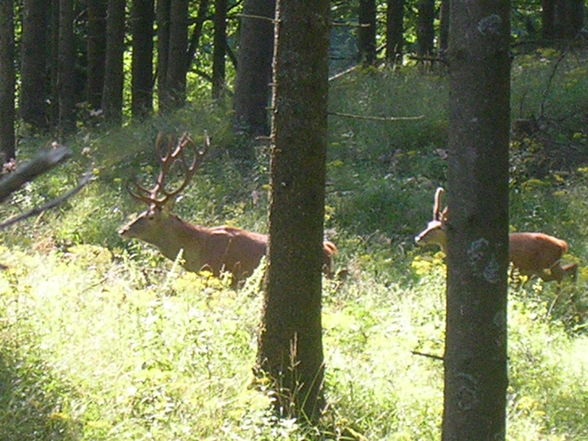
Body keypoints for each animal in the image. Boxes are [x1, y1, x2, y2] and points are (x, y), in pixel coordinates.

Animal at [119, 132, 338, 284]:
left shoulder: (224, 275)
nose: (124, 230)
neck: (196, 249)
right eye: (142, 212)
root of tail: (329, 249)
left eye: (151, 217)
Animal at [416, 186, 576, 282]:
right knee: (570, 269)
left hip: (542, 264)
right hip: (542, 265)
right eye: (428, 224)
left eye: (438, 228)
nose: (418, 237)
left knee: (561, 276)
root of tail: (562, 245)